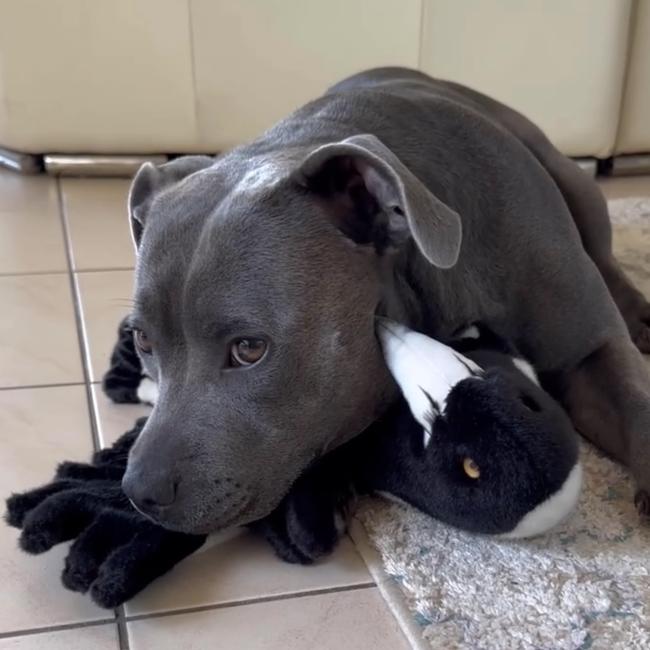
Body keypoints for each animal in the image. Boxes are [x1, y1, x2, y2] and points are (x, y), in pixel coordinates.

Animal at [120, 67, 648, 532]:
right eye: (142, 340)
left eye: (249, 348)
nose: (140, 491)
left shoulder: (590, 352)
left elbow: (636, 404)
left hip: (576, 185)